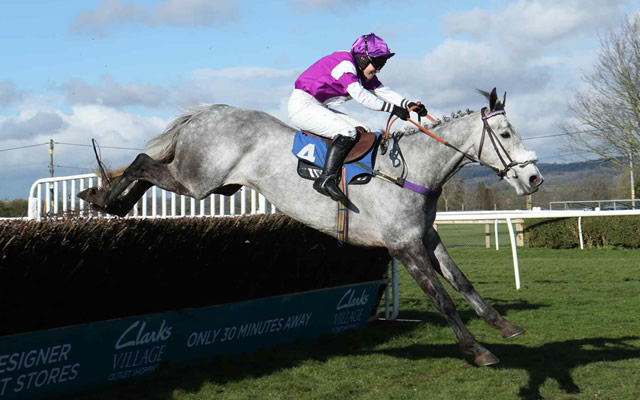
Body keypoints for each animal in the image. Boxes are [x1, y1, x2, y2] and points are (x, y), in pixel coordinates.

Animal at [77, 87, 544, 366]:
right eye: (506, 133)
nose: (534, 178)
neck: (411, 169)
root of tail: (210, 111)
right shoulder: (402, 246)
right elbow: (442, 299)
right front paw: (476, 349)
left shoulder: (425, 236)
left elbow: (462, 281)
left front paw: (503, 325)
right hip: (199, 181)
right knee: (143, 162)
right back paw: (105, 199)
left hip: (210, 183)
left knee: (148, 169)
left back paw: (110, 200)